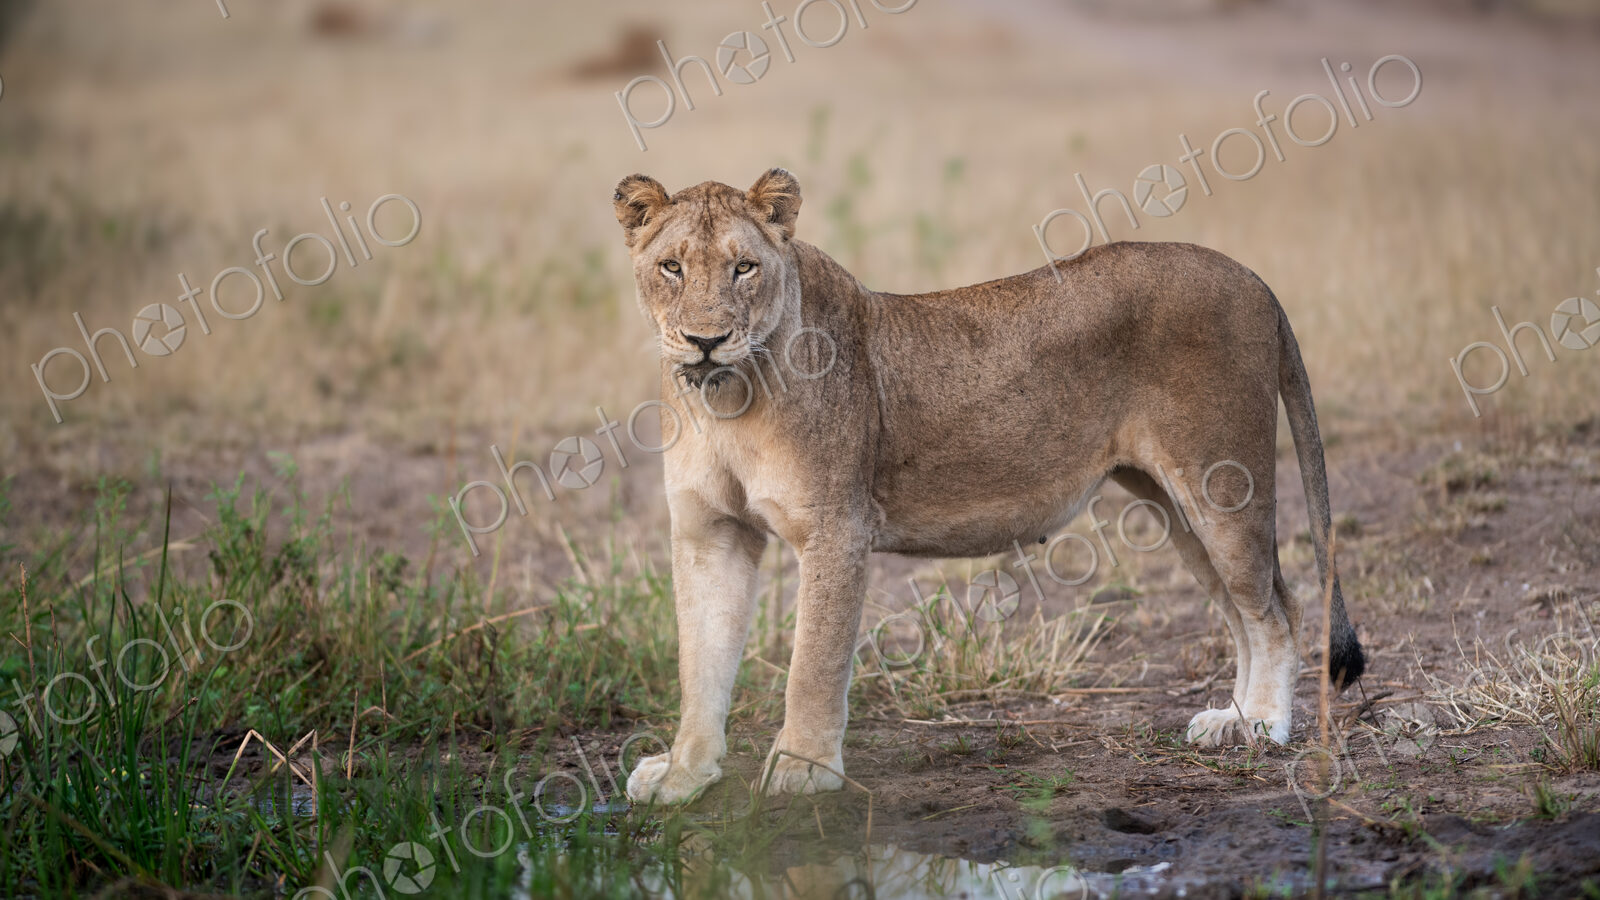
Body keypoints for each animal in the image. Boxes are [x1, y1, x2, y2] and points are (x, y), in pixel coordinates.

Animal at [614, 168, 1364, 804]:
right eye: (672, 267)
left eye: (744, 266)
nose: (704, 340)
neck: (726, 400)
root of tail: (1253, 277)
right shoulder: (711, 534)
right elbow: (700, 663)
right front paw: (684, 773)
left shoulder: (835, 529)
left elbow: (814, 665)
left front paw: (803, 771)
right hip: (1175, 504)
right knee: (1244, 611)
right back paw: (1231, 719)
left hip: (1221, 484)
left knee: (1277, 609)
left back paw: (1263, 726)